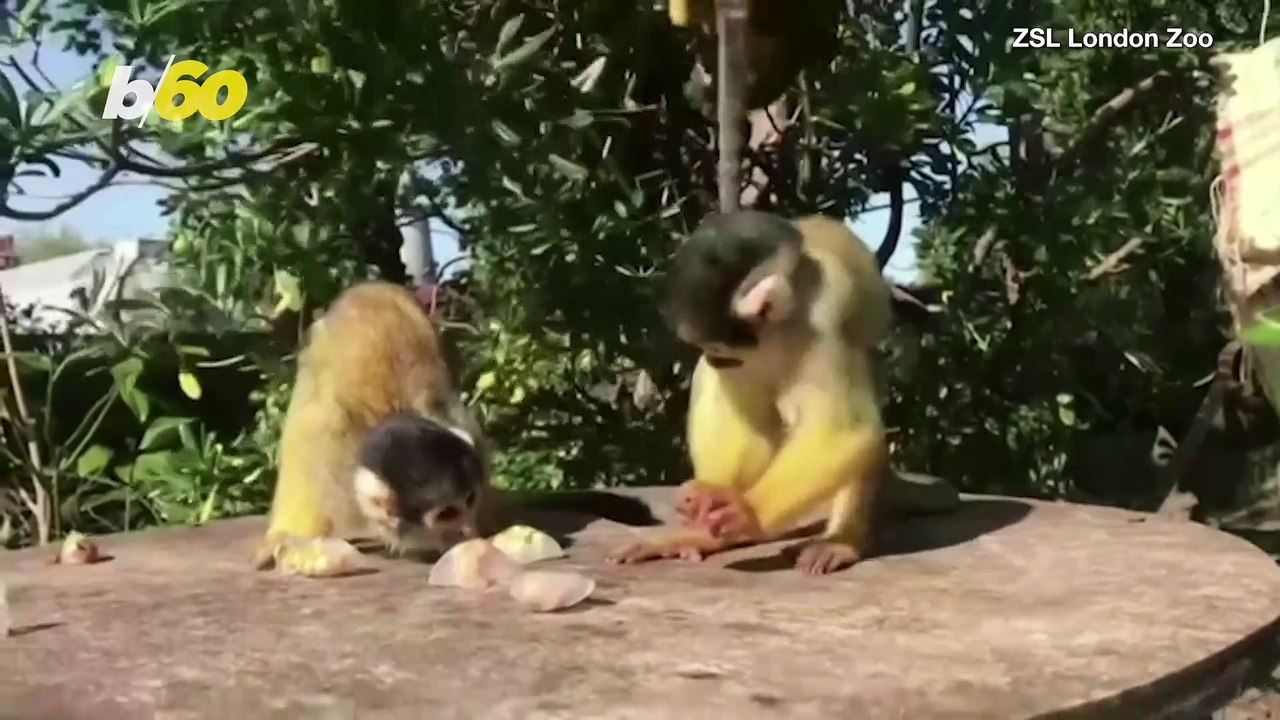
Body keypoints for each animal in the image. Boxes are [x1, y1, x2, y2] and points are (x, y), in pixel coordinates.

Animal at [252, 281, 496, 570]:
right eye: (447, 514)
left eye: (470, 500)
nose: (468, 531)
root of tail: (370, 288)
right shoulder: (329, 458)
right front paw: (282, 538)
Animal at [608, 210, 893, 575]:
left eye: (721, 351)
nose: (715, 360)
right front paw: (711, 501)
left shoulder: (821, 323)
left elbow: (847, 430)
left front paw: (747, 510)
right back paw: (705, 532)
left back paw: (842, 539)